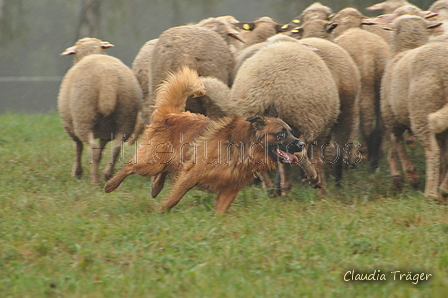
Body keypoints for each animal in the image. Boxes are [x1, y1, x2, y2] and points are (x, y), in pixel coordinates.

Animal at [57, 37, 142, 185]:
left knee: (92, 148)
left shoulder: (69, 126)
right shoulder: (106, 134)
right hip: (126, 116)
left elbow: (78, 147)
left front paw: (77, 172)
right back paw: (107, 175)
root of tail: (107, 79)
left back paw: (95, 180)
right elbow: (101, 151)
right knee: (116, 148)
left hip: (84, 115)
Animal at [105, 66, 304, 214]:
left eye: (291, 132)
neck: (242, 147)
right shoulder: (190, 175)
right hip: (151, 162)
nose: (301, 144)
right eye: (280, 134)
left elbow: (220, 211)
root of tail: (171, 114)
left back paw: (156, 187)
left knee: (162, 170)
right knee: (130, 165)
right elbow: (174, 198)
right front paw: (162, 212)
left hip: (168, 159)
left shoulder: (230, 190)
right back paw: (111, 185)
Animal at [212, 35, 338, 194]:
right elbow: (316, 159)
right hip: (308, 118)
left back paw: (271, 187)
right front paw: (321, 188)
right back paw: (313, 178)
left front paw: (285, 187)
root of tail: (264, 90)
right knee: (301, 153)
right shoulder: (321, 129)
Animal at [330, 7, 390, 170]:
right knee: (378, 125)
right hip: (380, 85)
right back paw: (374, 159)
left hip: (360, 90)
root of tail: (367, 54)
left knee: (359, 124)